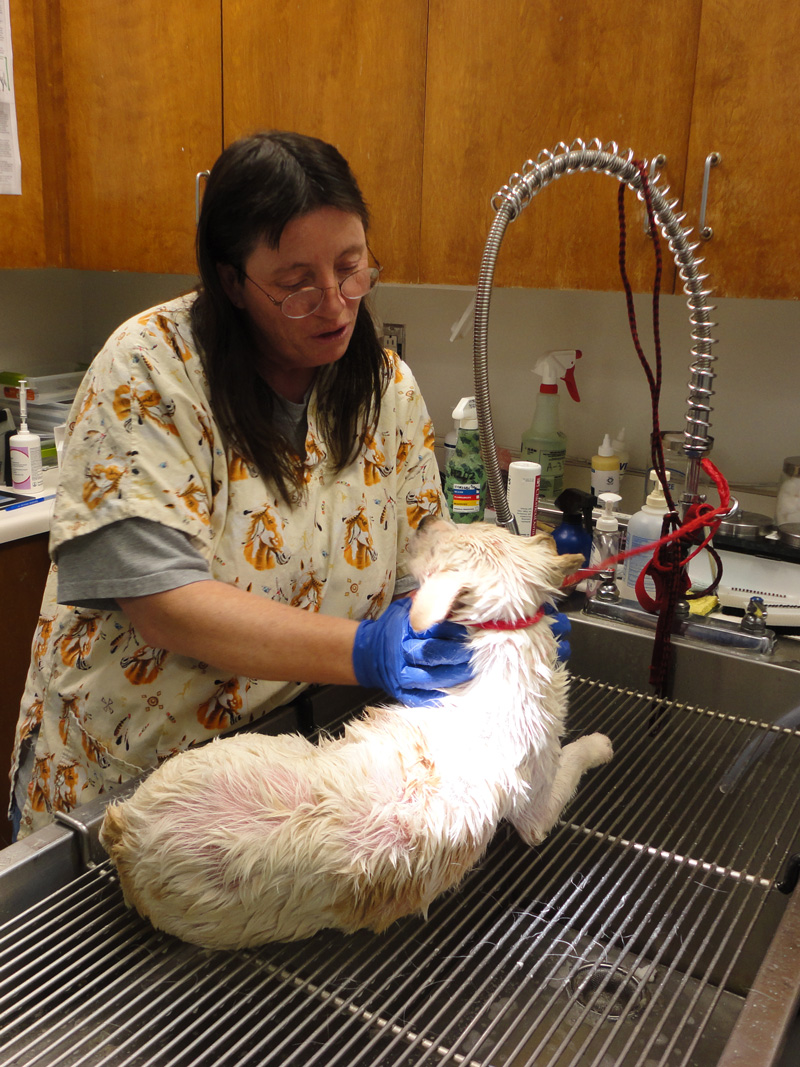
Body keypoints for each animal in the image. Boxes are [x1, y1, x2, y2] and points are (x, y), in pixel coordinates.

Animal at [100, 520, 614, 947]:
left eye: (444, 534)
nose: (424, 519)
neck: (499, 635)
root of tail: (127, 835)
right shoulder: (537, 810)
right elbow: (572, 761)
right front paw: (599, 744)